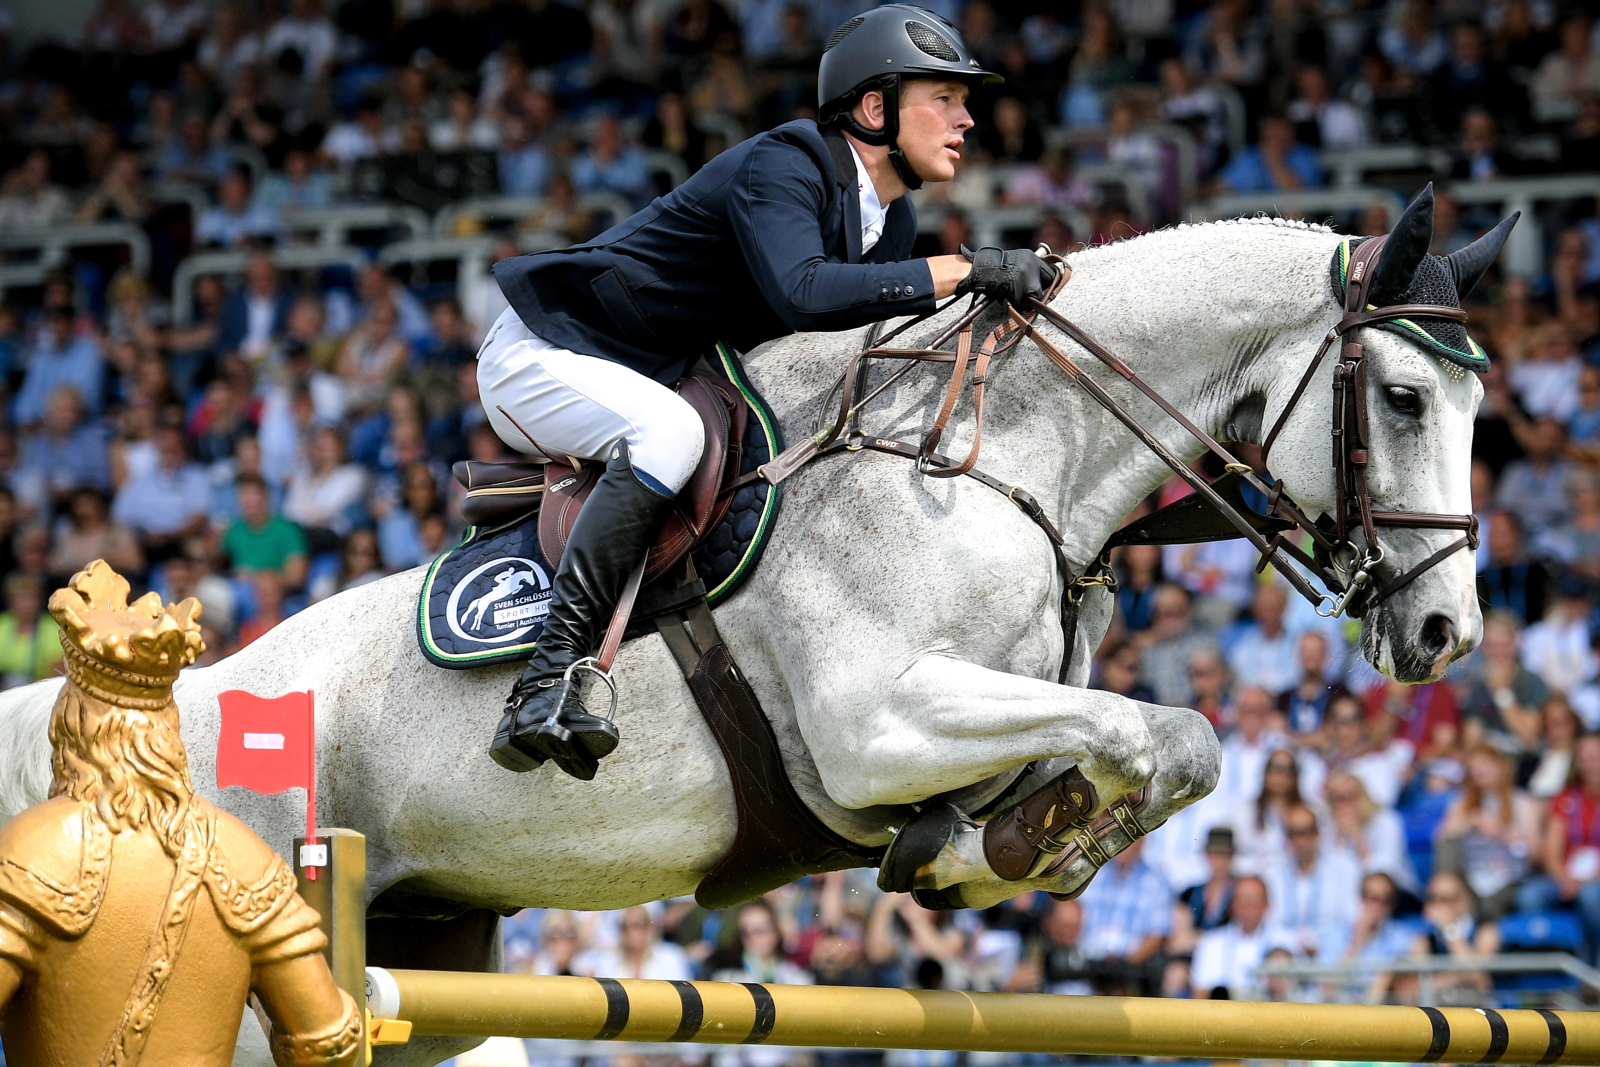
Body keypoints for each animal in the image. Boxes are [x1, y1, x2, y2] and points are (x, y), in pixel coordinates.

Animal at [0, 212, 1491, 1062]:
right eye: (1405, 397)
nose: (1444, 632)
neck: (1006, 456)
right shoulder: (875, 721)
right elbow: (1160, 728)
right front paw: (1019, 844)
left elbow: (1158, 740)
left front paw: (996, 845)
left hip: (435, 966)